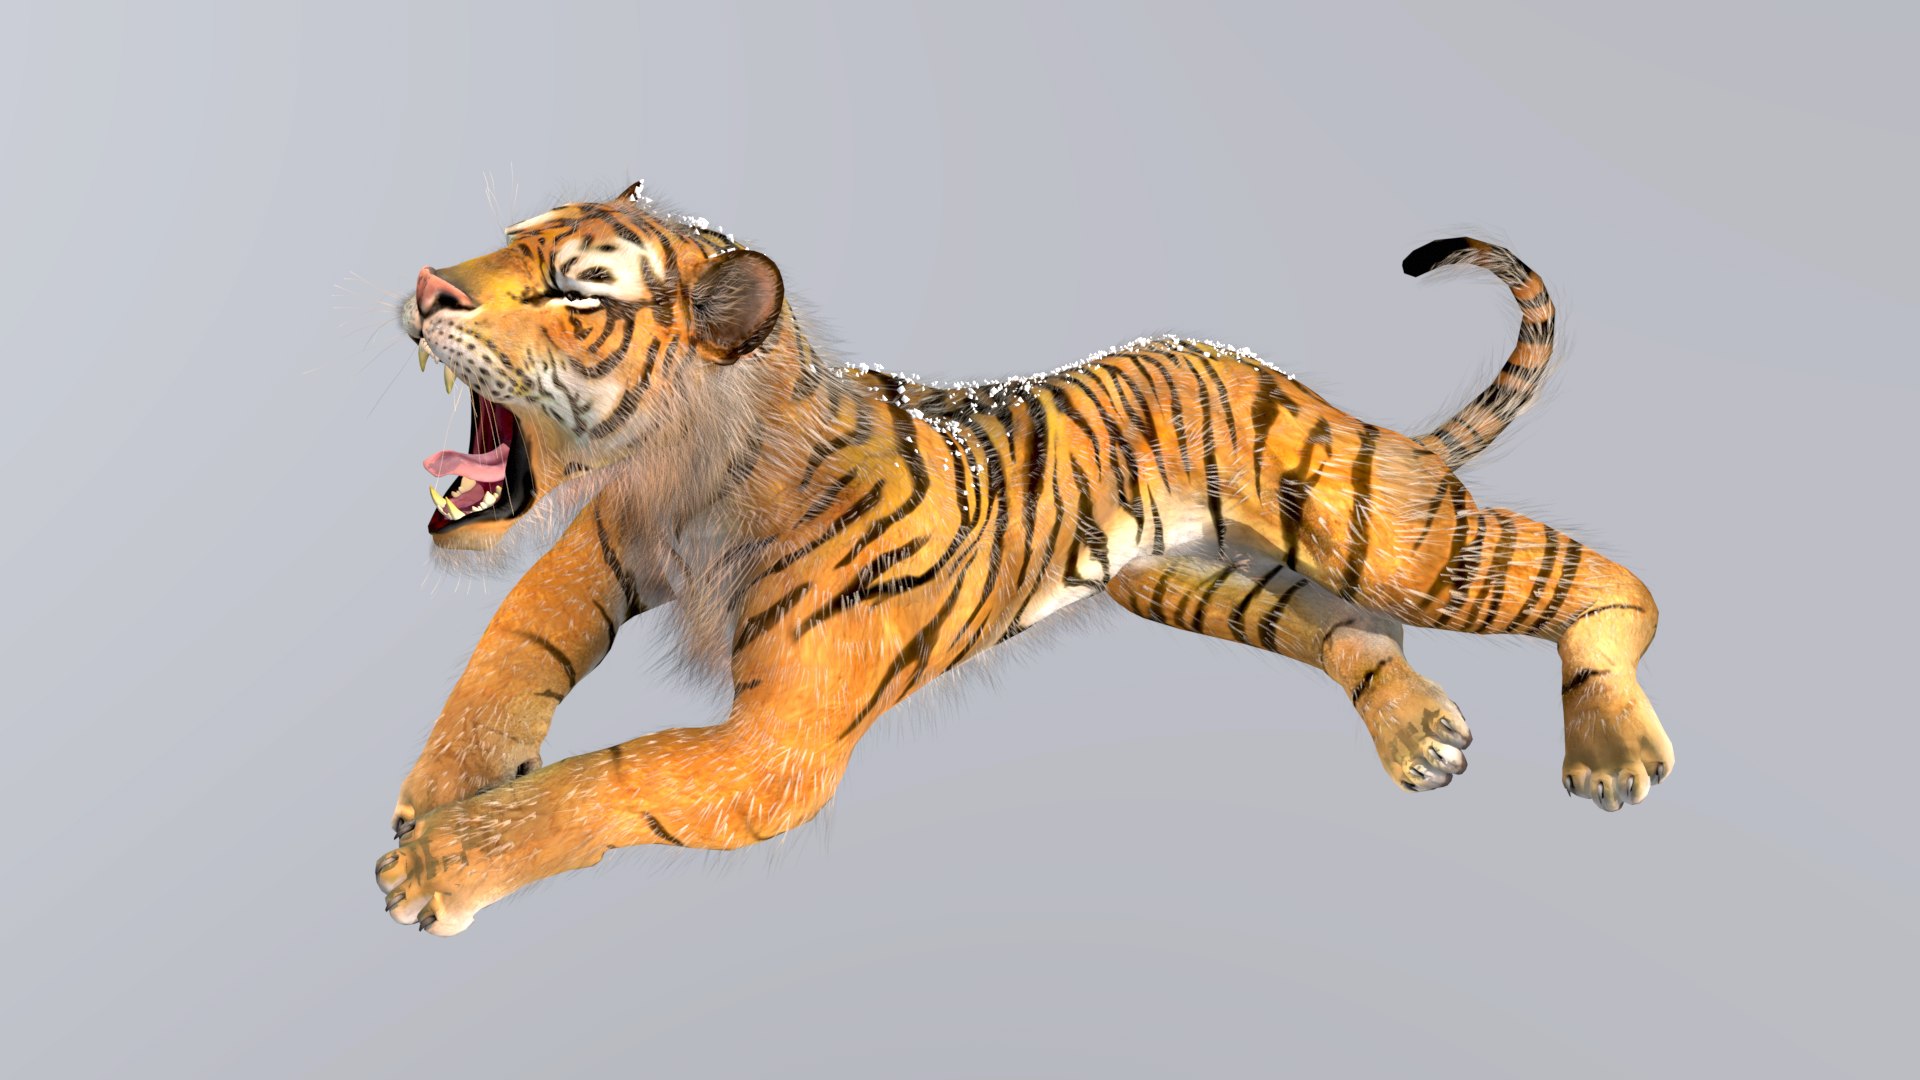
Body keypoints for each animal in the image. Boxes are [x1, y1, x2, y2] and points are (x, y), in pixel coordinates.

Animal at [376, 182, 1673, 936]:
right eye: (504, 245)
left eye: (572, 291)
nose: (425, 285)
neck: (679, 482)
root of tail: (1280, 377)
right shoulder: (598, 551)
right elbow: (507, 648)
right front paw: (442, 786)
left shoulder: (781, 742)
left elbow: (615, 776)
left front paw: (441, 863)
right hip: (1200, 579)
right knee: (1355, 631)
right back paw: (1418, 733)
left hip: (1386, 535)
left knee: (1608, 584)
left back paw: (1612, 750)